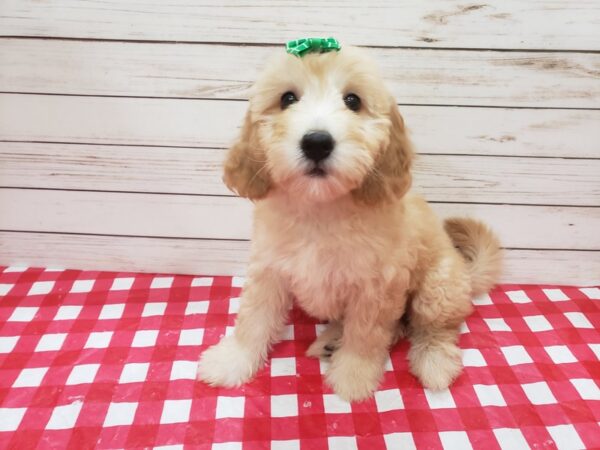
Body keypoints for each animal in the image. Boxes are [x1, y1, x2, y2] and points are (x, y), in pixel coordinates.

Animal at [198, 43, 502, 400]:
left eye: (353, 100)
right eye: (288, 98)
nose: (317, 142)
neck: (321, 208)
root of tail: (466, 272)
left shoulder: (376, 286)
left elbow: (366, 336)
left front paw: (353, 377)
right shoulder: (269, 269)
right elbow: (253, 318)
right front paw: (234, 359)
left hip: (437, 287)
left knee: (434, 327)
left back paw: (434, 362)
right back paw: (331, 340)